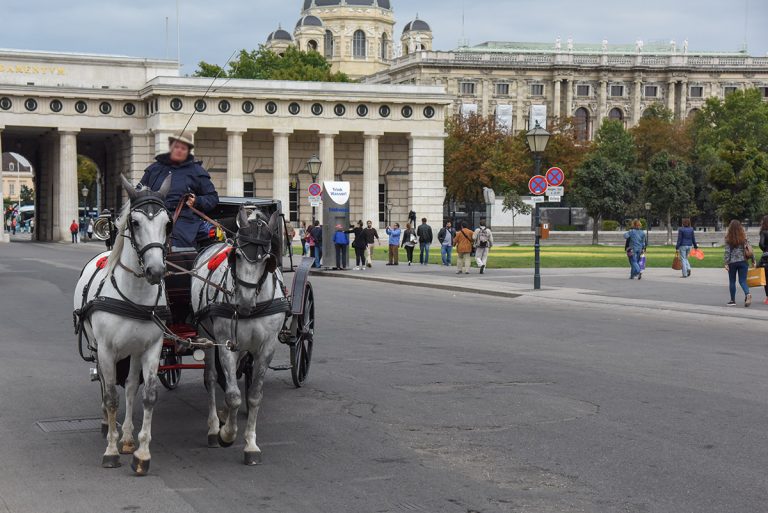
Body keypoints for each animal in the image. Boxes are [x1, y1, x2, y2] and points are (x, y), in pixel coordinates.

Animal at [73, 174, 171, 474]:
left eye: (168, 223)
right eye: (135, 222)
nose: (156, 271)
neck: (134, 294)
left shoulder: (151, 348)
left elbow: (146, 394)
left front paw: (141, 454)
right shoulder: (105, 349)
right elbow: (110, 396)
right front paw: (111, 451)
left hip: (134, 350)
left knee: (128, 386)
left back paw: (126, 437)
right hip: (97, 347)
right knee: (106, 385)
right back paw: (109, 425)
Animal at [192, 206, 288, 466]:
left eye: (267, 260)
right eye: (237, 256)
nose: (244, 303)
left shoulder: (266, 348)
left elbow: (254, 396)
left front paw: (251, 445)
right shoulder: (225, 344)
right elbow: (233, 395)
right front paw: (227, 434)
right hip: (206, 336)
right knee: (212, 378)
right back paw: (214, 427)